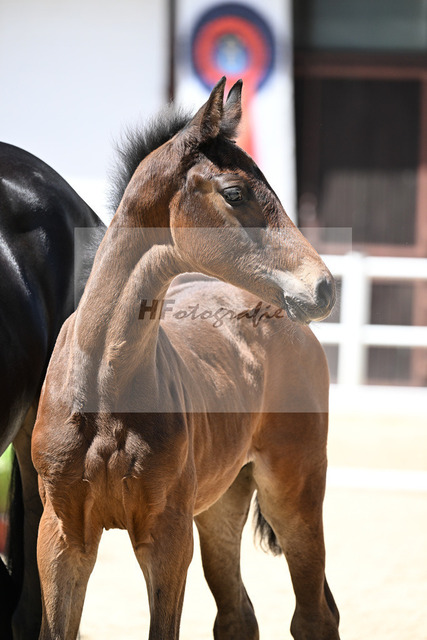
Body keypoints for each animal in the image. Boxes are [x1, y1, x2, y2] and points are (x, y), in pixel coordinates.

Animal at [32, 78, 340, 640]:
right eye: (235, 193)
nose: (323, 288)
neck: (106, 386)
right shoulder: (63, 534)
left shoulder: (168, 534)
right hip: (222, 503)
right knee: (238, 615)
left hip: (294, 491)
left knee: (313, 617)